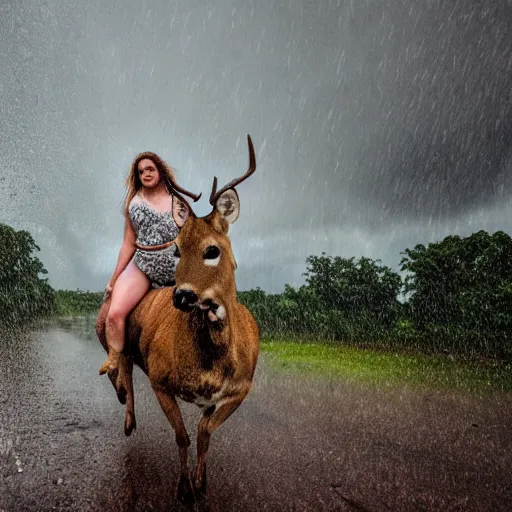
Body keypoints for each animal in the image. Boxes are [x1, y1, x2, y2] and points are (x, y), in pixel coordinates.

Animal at [96, 135, 260, 504]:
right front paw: (184, 489)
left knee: (124, 363)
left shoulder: (241, 388)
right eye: (177, 250)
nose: (181, 295)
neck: (210, 365)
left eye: (212, 249)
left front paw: (201, 485)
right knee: (119, 361)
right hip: (109, 327)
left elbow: (204, 434)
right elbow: (183, 437)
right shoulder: (160, 379)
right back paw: (125, 411)